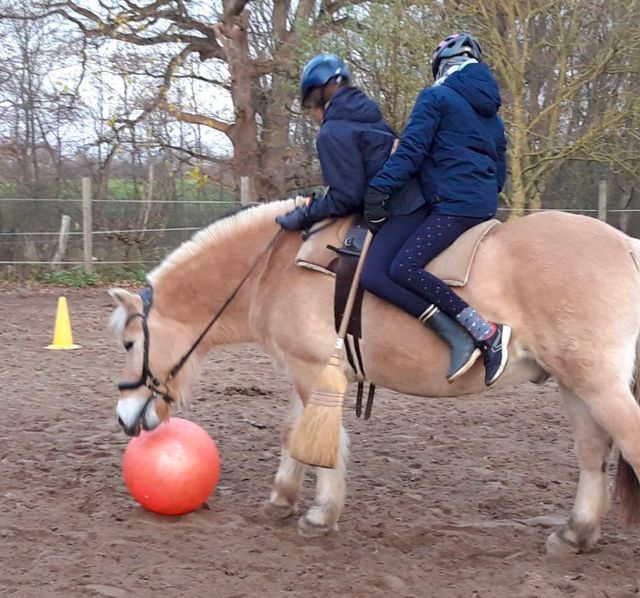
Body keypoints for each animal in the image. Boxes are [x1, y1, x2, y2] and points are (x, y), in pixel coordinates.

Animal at [109, 199, 640, 556]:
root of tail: (626, 245)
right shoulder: (304, 371)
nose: (124, 417)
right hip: (575, 385)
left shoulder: (314, 372)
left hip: (599, 386)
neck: (272, 270)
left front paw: (320, 515)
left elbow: (326, 444)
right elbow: (294, 434)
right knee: (592, 454)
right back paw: (576, 532)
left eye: (130, 344)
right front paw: (281, 500)